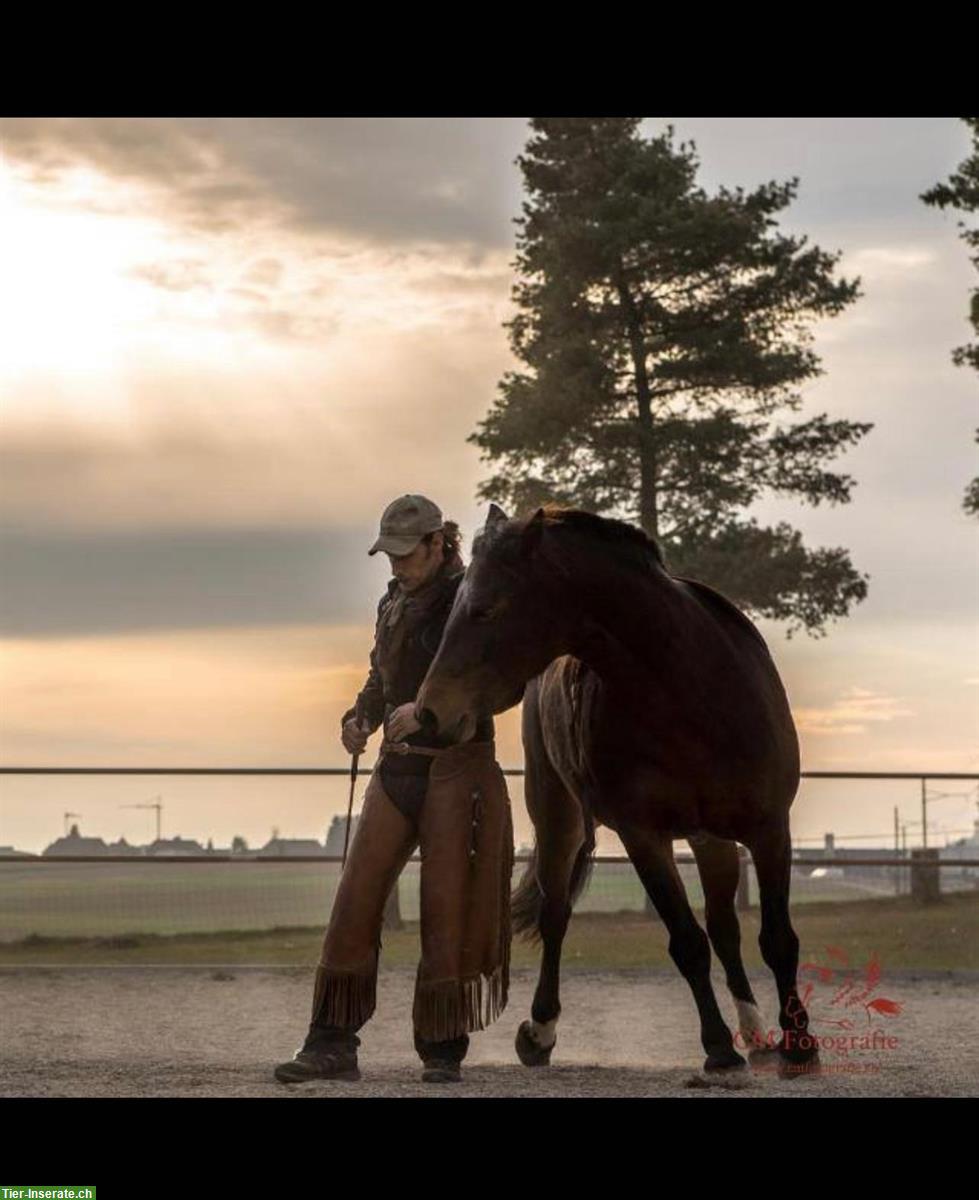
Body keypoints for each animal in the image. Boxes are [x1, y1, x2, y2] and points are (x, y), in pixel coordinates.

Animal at [412, 499, 820, 1080]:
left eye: (486, 609)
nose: (429, 712)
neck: (689, 689)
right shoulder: (643, 836)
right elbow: (687, 943)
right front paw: (718, 1047)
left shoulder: (769, 828)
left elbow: (776, 939)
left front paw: (798, 1042)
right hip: (557, 819)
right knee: (557, 917)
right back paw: (540, 1031)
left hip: (712, 839)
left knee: (726, 927)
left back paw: (755, 1028)